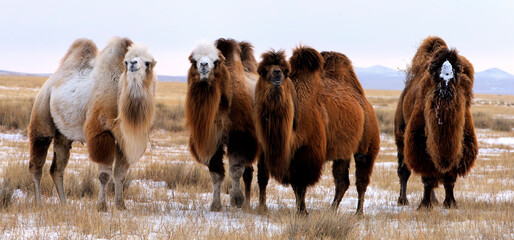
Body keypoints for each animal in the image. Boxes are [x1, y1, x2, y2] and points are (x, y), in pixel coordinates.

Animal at [27, 36, 155, 211]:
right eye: (126, 61)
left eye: (148, 62)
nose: (133, 64)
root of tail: (50, 81)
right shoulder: (101, 133)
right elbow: (104, 175)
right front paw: (102, 206)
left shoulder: (125, 140)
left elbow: (120, 175)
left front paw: (120, 205)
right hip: (41, 115)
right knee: (37, 163)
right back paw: (39, 203)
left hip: (63, 135)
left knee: (57, 168)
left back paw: (65, 203)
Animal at [184, 38, 258, 211]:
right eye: (194, 61)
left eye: (216, 61)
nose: (204, 65)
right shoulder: (212, 140)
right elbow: (216, 173)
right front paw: (215, 204)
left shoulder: (239, 137)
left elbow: (235, 170)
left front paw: (236, 199)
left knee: (250, 172)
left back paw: (247, 203)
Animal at [254, 47, 378, 215]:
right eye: (263, 70)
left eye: (285, 70)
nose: (277, 73)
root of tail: (364, 101)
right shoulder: (265, 149)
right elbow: (263, 178)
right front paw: (262, 207)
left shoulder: (308, 151)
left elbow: (300, 184)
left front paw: (302, 212)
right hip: (343, 151)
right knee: (342, 181)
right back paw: (332, 210)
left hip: (367, 142)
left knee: (361, 179)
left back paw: (358, 212)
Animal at [396, 36, 476, 210]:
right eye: (433, 69)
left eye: (457, 69)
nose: (445, 82)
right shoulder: (419, 143)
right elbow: (427, 177)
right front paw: (424, 205)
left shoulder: (459, 146)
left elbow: (450, 178)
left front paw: (450, 203)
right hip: (400, 134)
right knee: (404, 170)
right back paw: (402, 200)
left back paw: (434, 200)